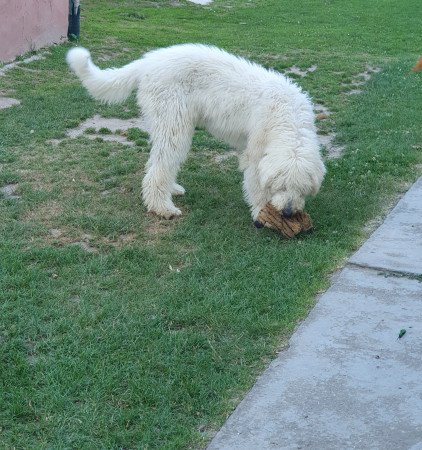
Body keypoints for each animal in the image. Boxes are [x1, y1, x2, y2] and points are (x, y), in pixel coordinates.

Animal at [66, 44, 324, 221]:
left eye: (301, 189)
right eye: (281, 186)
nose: (289, 213)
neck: (288, 119)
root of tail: (148, 61)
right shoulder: (256, 150)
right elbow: (257, 184)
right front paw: (262, 212)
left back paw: (171, 190)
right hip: (174, 124)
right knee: (160, 167)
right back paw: (162, 207)